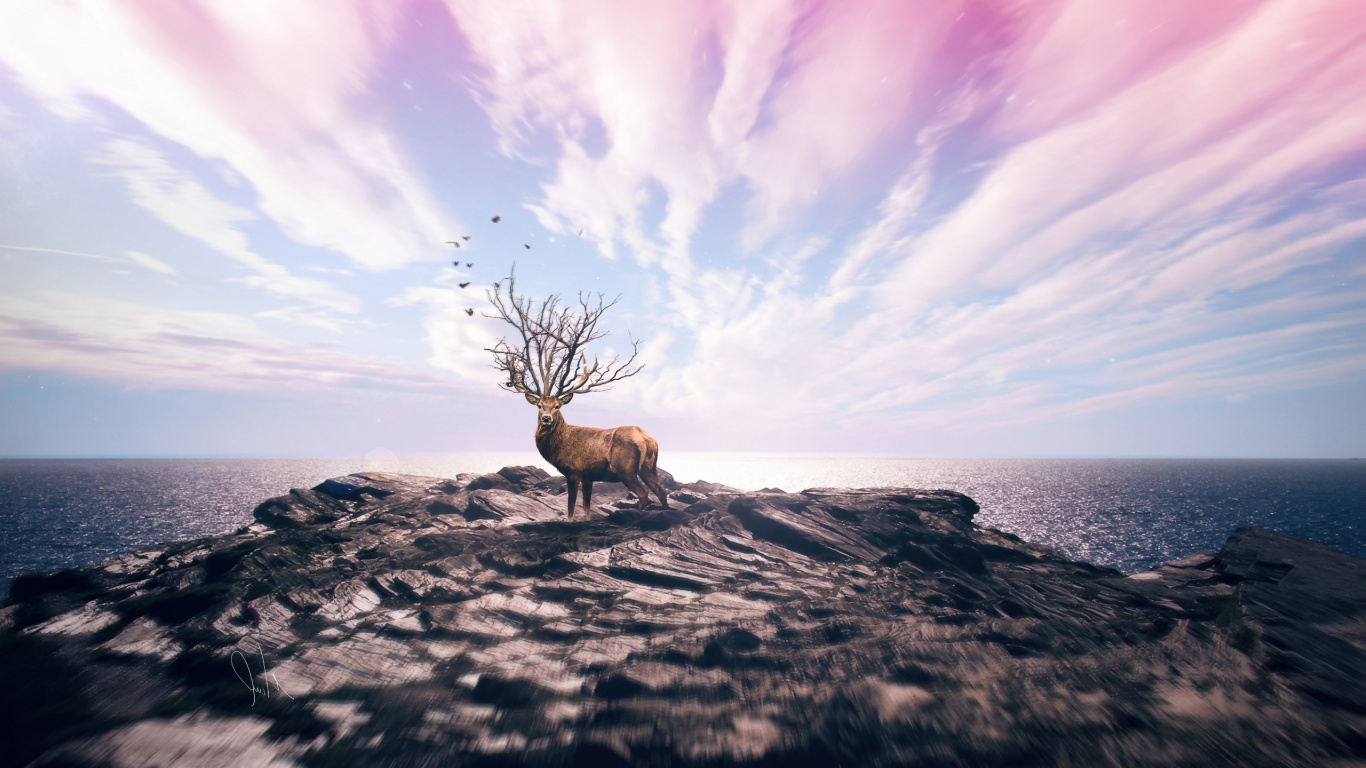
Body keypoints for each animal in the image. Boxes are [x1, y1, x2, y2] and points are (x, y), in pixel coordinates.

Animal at [485, 270, 668, 520]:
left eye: (557, 406)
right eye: (539, 405)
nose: (546, 418)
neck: (561, 446)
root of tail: (647, 438)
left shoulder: (574, 470)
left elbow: (571, 508)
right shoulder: (589, 476)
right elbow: (586, 507)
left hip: (626, 468)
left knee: (643, 494)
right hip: (650, 467)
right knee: (662, 492)